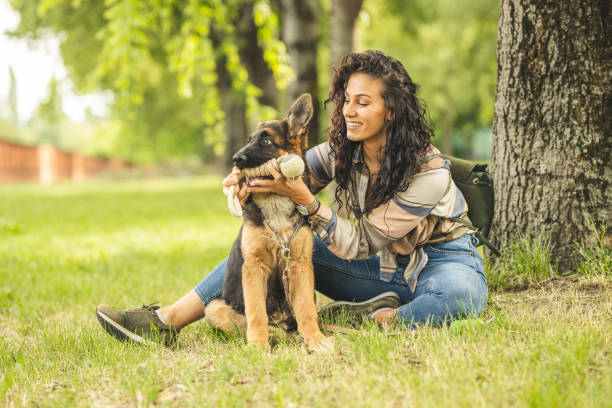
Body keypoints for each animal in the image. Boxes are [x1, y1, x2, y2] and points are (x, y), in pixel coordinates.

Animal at [206, 94, 330, 350]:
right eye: (249, 140)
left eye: (266, 141)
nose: (235, 159)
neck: (275, 203)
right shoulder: (254, 267)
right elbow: (256, 312)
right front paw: (257, 345)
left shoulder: (300, 266)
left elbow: (306, 310)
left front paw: (315, 339)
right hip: (214, 308)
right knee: (253, 324)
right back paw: (274, 335)